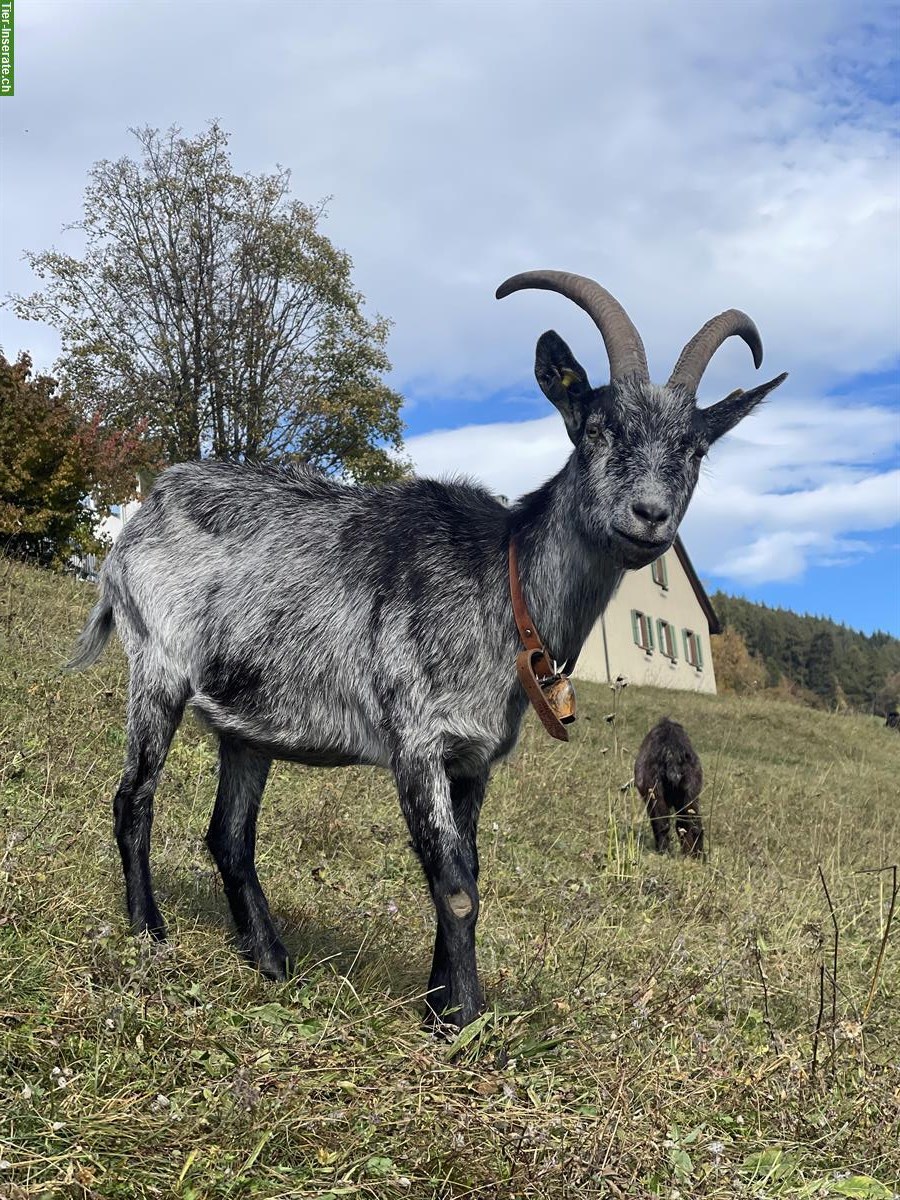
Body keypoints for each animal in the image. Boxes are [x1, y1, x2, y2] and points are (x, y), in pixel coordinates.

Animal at [633, 715, 705, 859]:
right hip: (691, 794)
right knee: (693, 825)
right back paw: (696, 855)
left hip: (655, 791)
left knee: (662, 823)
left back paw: (664, 851)